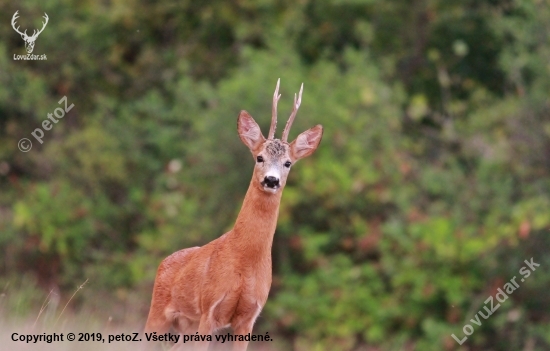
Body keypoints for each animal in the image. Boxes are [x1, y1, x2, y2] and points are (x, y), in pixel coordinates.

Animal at [146, 80, 324, 351]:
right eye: (259, 157)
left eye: (288, 163)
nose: (271, 180)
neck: (245, 260)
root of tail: (165, 261)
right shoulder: (209, 308)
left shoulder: (248, 318)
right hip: (158, 312)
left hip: (185, 325)